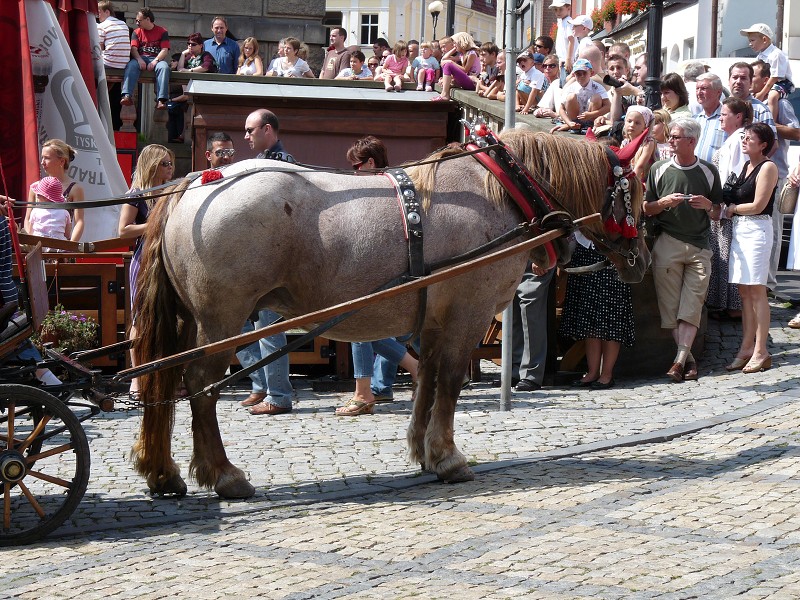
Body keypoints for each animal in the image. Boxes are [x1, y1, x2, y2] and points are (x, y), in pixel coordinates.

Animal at [130, 129, 644, 500]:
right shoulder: (467, 314)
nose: (639, 261)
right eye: (635, 191)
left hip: (191, 321)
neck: (500, 189)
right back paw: (224, 474)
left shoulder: (434, 319)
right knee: (199, 385)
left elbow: (428, 380)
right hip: (220, 320)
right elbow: (450, 381)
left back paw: (164, 472)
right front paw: (448, 457)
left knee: (166, 381)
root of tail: (195, 183)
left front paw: (424, 450)